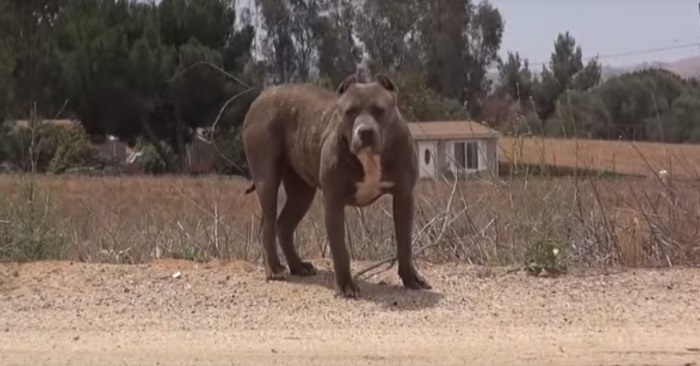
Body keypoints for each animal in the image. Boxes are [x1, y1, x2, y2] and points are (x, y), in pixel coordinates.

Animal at [241, 72, 430, 298]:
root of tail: (262, 96)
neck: (370, 159)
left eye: (379, 110)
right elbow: (340, 248)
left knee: (284, 224)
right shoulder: (333, 201)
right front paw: (346, 285)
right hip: (267, 178)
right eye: (350, 112)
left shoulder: (404, 196)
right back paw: (275, 268)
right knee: (268, 224)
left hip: (302, 193)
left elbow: (405, 242)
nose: (365, 131)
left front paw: (411, 279)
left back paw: (298, 266)